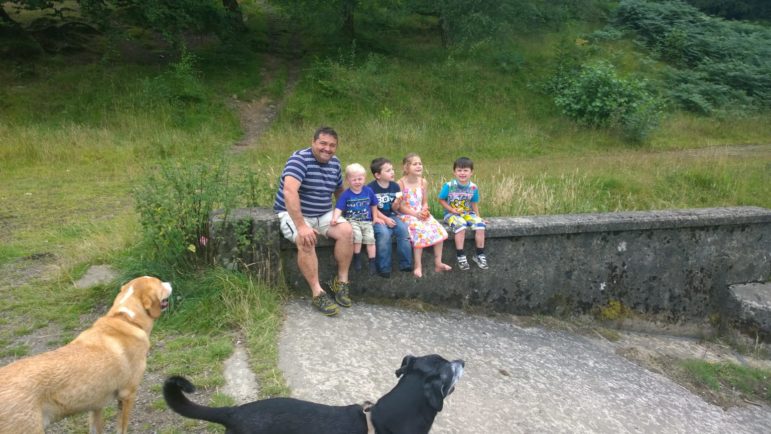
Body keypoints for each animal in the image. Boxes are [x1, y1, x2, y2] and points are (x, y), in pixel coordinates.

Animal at [0, 276, 172, 432]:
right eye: (159, 282)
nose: (170, 283)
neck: (127, 319)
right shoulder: (127, 395)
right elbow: (121, 428)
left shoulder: (95, 406)